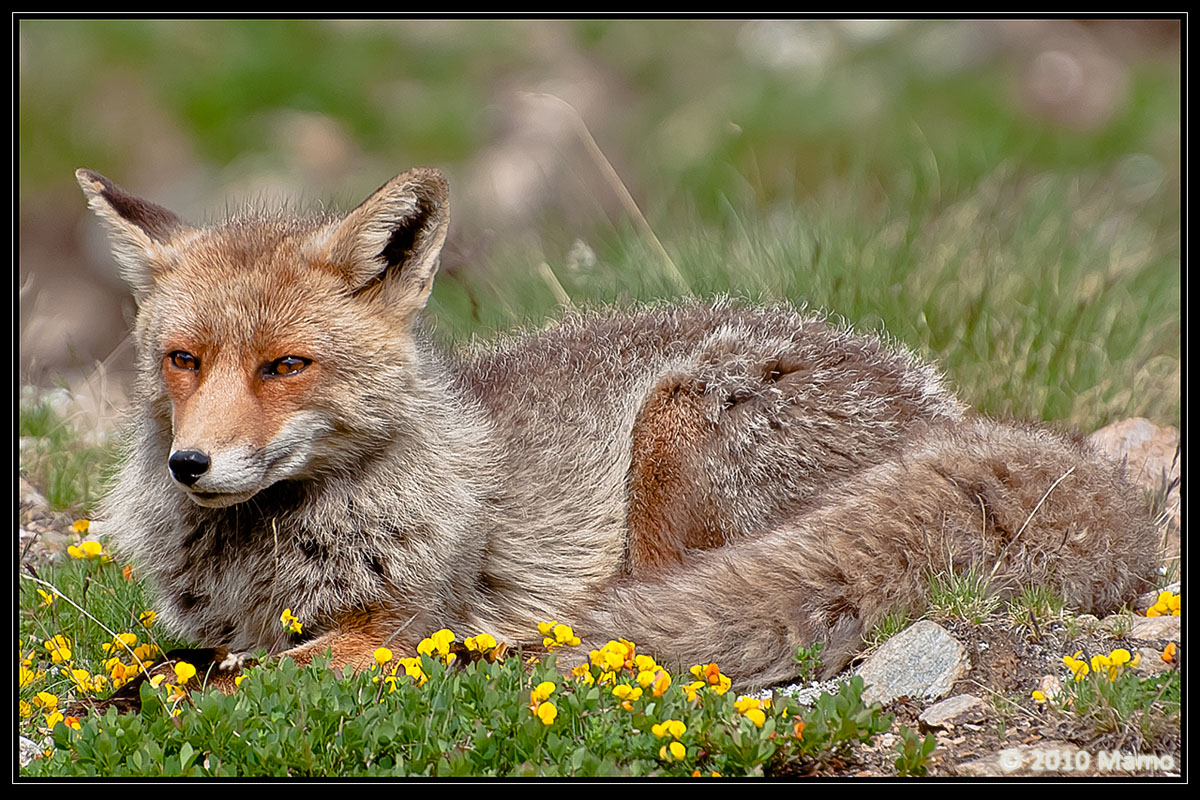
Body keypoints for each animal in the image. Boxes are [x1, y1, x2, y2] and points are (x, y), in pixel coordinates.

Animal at [76, 166, 1161, 690]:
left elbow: (234, 681)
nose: (190, 463)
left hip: (673, 431)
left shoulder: (401, 622)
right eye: (183, 359)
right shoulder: (219, 630)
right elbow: (180, 664)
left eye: (285, 366)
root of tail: (943, 411)